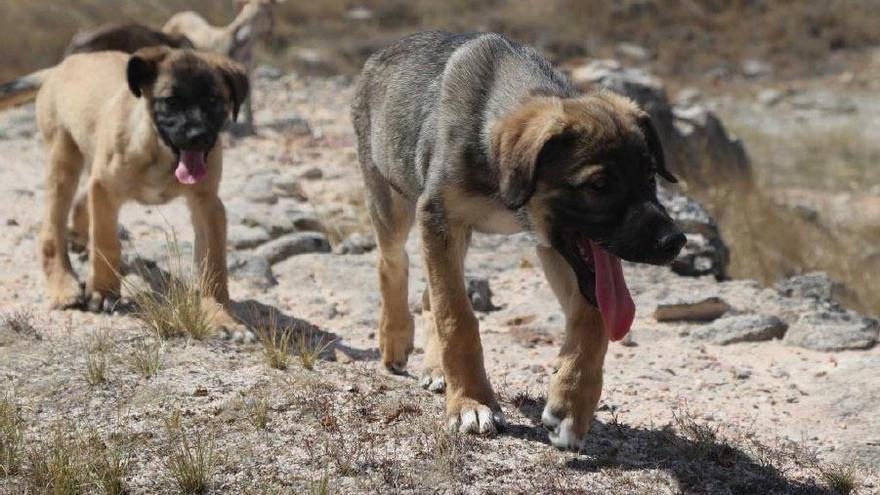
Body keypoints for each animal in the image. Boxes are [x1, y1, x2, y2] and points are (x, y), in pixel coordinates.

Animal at [34, 46, 248, 318]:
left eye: (213, 100)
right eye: (171, 101)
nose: (197, 136)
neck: (160, 152)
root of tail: (63, 64)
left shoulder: (208, 202)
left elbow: (214, 262)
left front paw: (219, 315)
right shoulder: (106, 190)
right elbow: (105, 241)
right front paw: (103, 292)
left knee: (82, 200)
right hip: (63, 158)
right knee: (53, 229)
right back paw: (64, 286)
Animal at [354, 33, 684, 452]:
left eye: (651, 177)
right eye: (598, 185)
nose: (676, 241)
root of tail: (382, 52)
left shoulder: (549, 245)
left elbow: (591, 318)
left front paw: (571, 403)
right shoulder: (439, 218)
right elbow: (457, 317)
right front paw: (472, 403)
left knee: (430, 292)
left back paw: (434, 365)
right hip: (392, 202)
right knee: (393, 263)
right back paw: (395, 338)